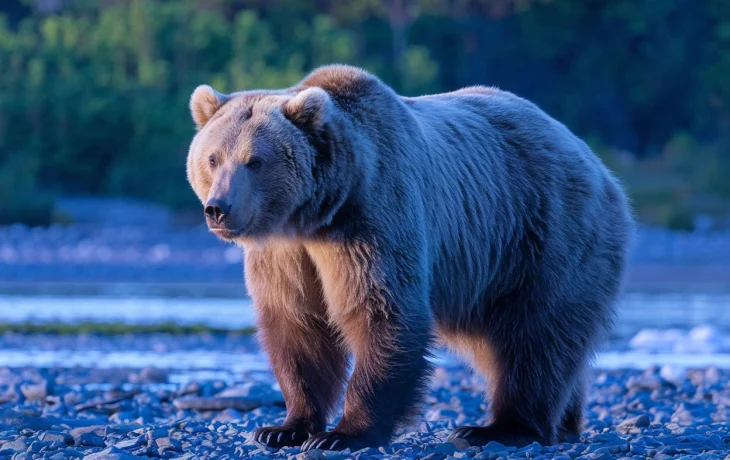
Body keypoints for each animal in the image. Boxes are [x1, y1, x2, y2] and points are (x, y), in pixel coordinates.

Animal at [186, 65, 633, 452]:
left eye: (255, 161)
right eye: (213, 158)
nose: (218, 208)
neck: (312, 217)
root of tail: (595, 162)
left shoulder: (372, 219)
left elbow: (382, 312)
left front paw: (343, 434)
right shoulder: (285, 255)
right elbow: (297, 326)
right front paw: (283, 427)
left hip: (544, 236)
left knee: (535, 337)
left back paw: (501, 428)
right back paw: (565, 422)